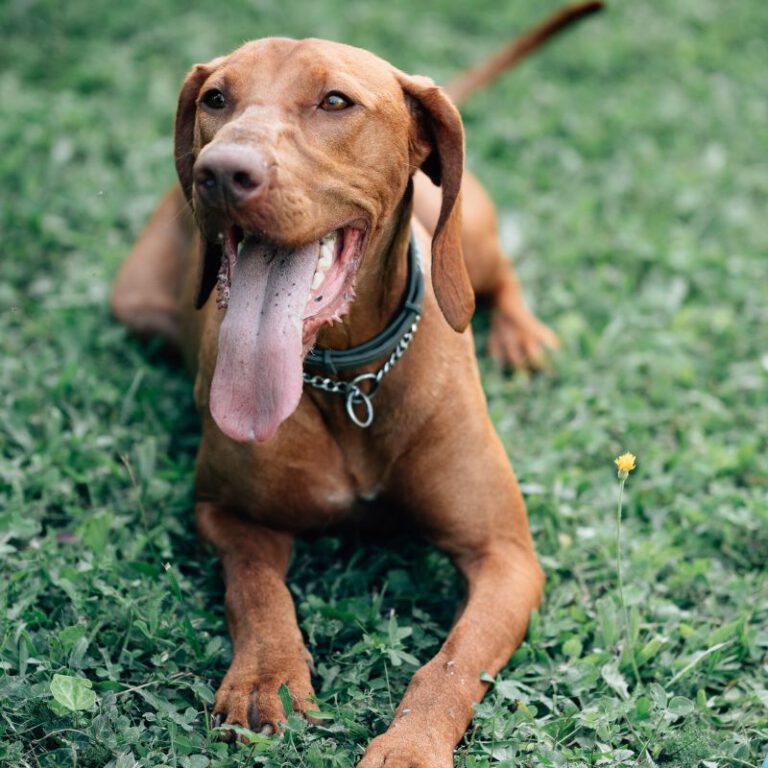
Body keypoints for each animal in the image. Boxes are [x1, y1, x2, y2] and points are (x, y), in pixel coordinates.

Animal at [114, 4, 604, 760]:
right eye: (215, 99)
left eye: (336, 102)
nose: (220, 171)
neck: (350, 380)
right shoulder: (225, 512)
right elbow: (258, 591)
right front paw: (265, 677)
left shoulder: (506, 556)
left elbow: (452, 663)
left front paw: (409, 747)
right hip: (133, 302)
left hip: (475, 237)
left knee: (500, 279)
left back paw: (522, 336)